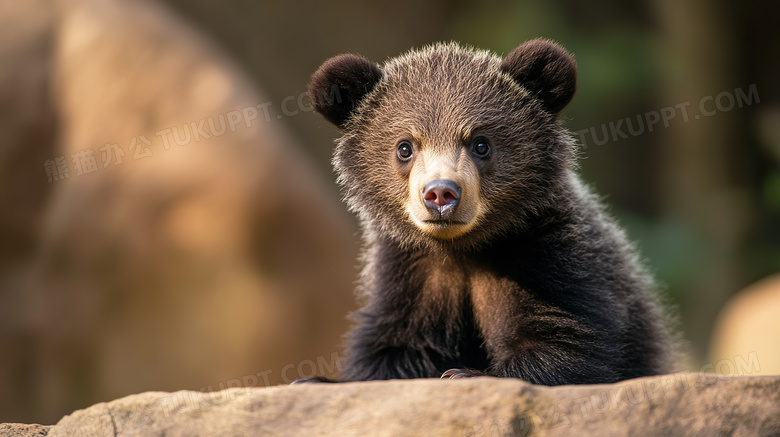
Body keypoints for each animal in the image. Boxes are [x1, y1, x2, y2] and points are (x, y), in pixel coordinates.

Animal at [304, 39, 676, 384]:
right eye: (405, 147)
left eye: (480, 143)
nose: (440, 193)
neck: (463, 249)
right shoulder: (410, 271)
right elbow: (397, 343)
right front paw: (314, 378)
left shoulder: (547, 257)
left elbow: (565, 341)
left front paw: (464, 373)